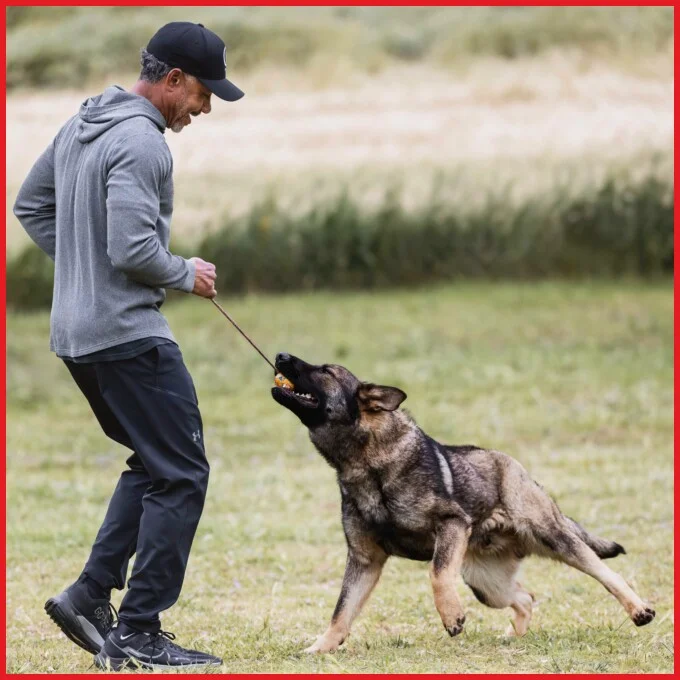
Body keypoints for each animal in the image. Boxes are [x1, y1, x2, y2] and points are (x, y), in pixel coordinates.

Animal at [272, 354, 660, 652]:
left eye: (325, 370)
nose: (280, 355)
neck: (366, 463)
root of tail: (516, 467)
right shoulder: (365, 561)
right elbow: (341, 612)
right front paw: (320, 648)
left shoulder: (451, 525)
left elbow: (437, 573)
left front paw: (451, 617)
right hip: (485, 584)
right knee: (525, 598)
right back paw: (514, 638)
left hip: (554, 540)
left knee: (607, 573)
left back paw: (639, 610)